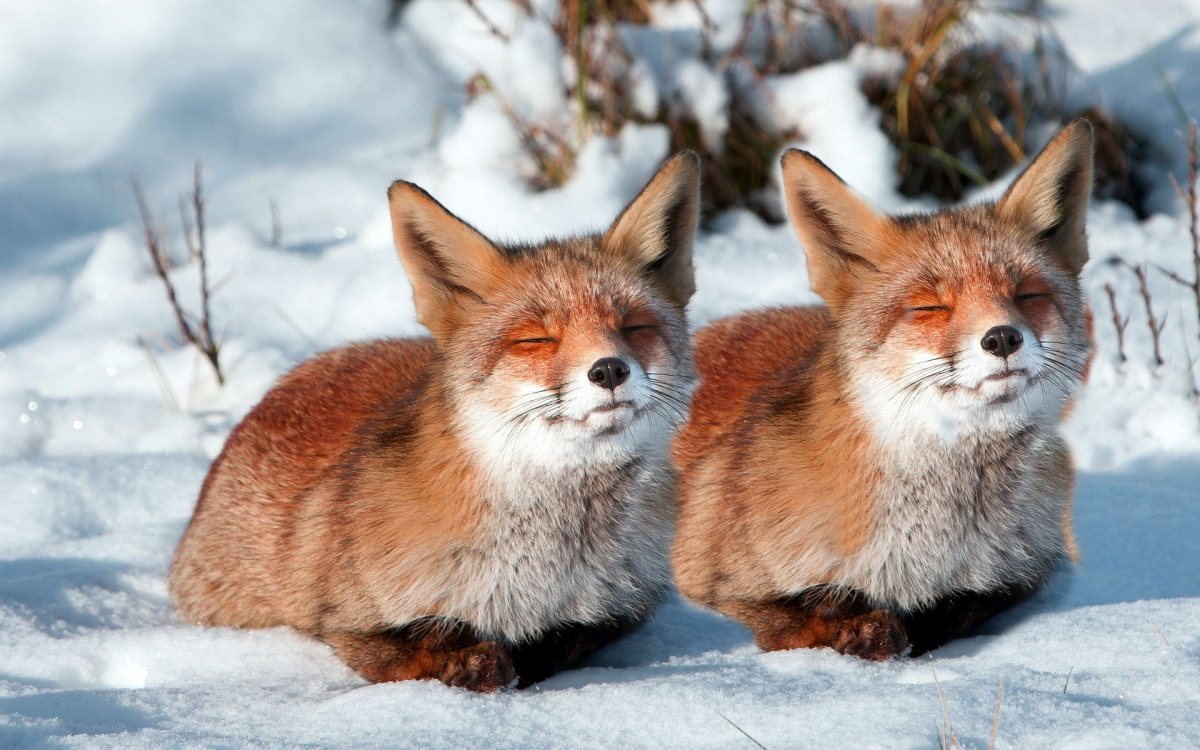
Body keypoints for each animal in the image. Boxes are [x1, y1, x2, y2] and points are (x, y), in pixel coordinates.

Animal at [169, 152, 701, 691]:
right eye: (536, 339)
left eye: (634, 326)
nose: (610, 369)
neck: (550, 563)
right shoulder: (343, 620)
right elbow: (417, 644)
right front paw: (470, 660)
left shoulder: (624, 607)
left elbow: (562, 640)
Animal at [671, 121, 1094, 659]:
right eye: (931, 307)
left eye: (1027, 294)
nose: (1002, 338)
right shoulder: (705, 580)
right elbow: (787, 616)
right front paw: (857, 625)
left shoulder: (1033, 570)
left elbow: (970, 604)